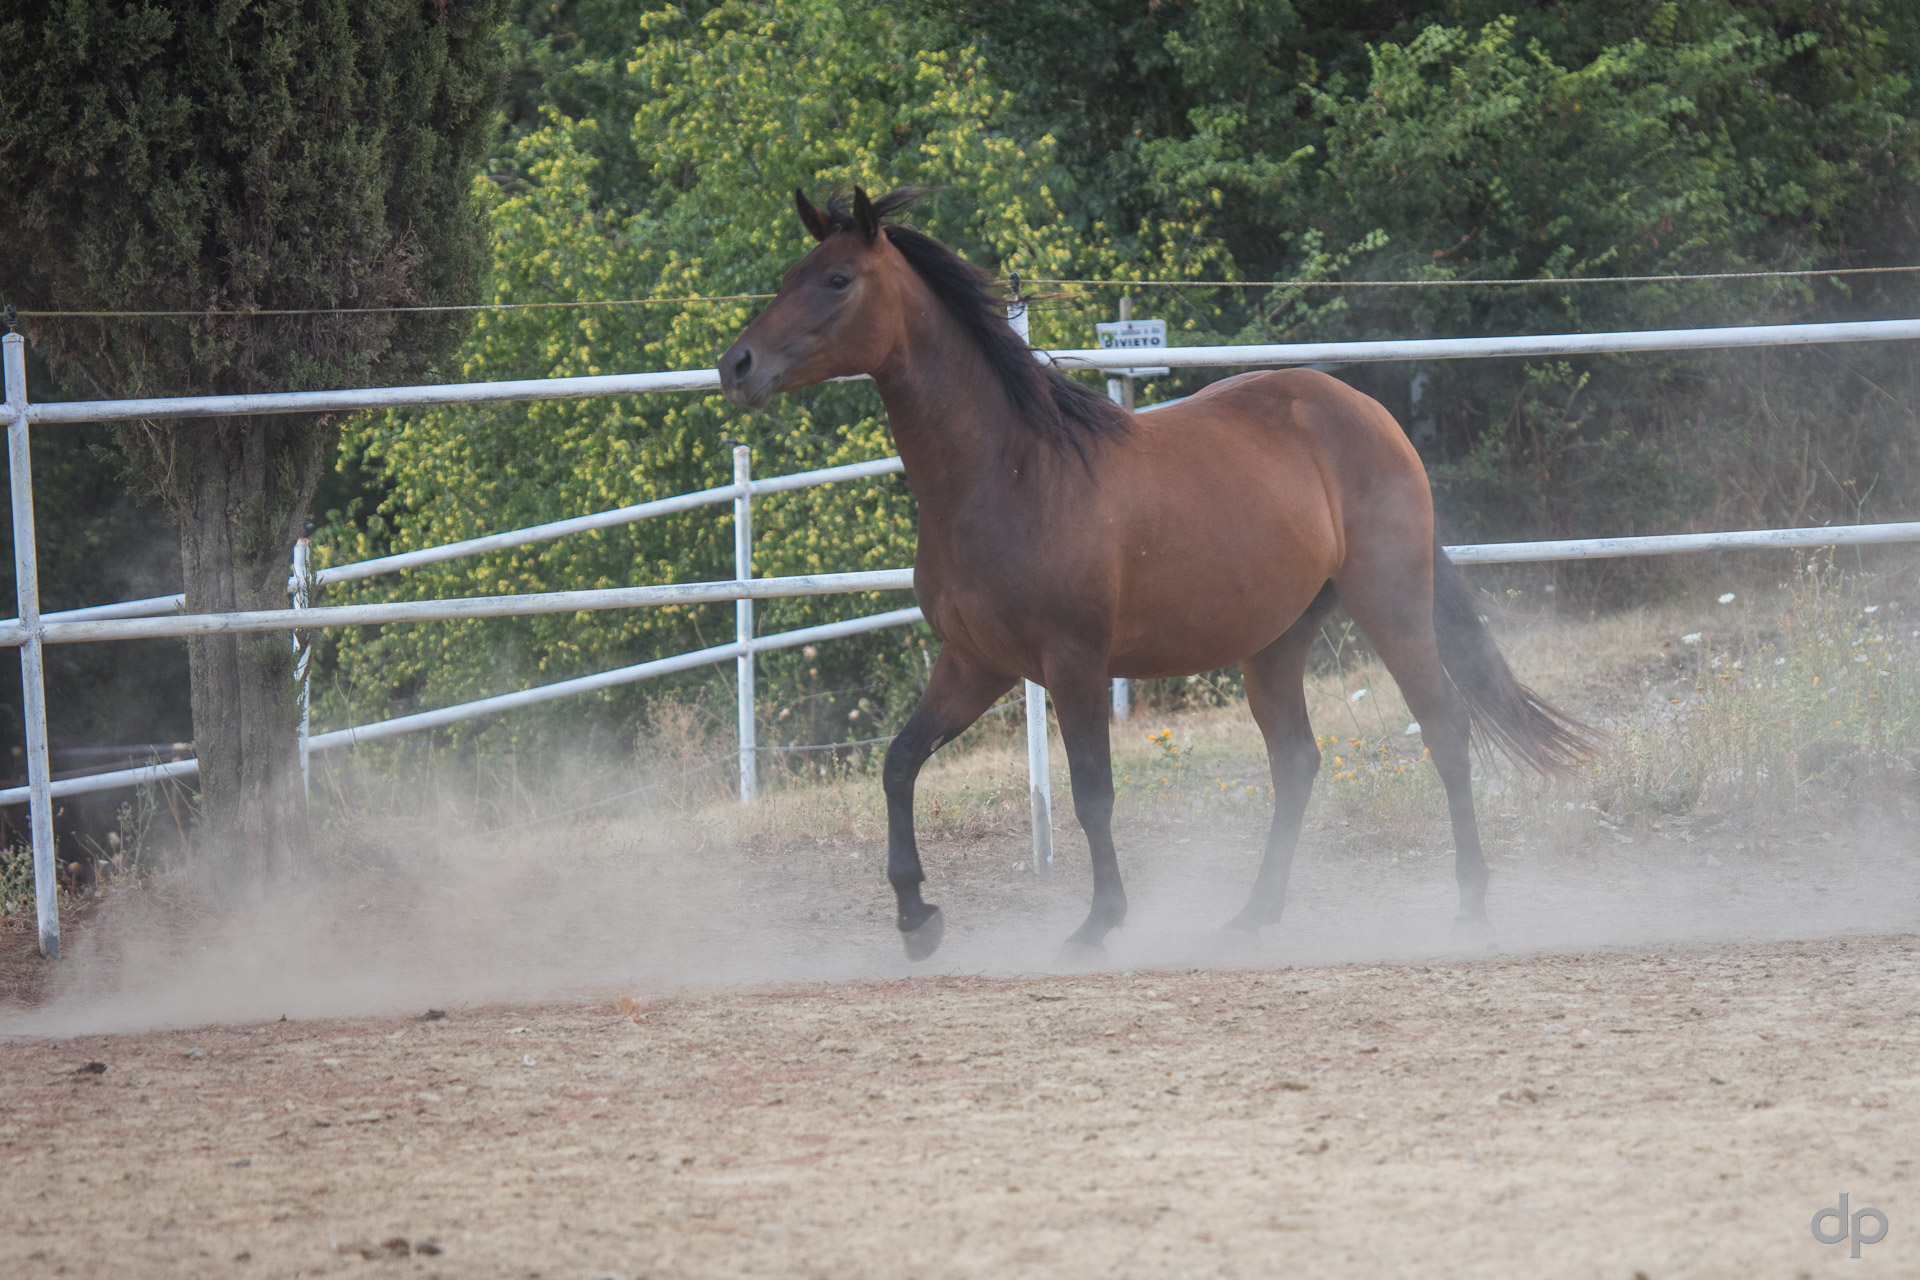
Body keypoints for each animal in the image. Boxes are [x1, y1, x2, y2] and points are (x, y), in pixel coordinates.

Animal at [719, 186, 1595, 963]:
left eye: (837, 279)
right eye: (792, 272)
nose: (736, 365)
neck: (1009, 473)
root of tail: (1367, 414)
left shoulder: (1073, 663)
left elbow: (1091, 791)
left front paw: (1098, 924)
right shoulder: (976, 664)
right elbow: (899, 763)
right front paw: (917, 918)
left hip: (1390, 603)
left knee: (1444, 727)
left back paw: (1470, 908)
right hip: (1276, 640)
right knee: (1297, 761)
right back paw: (1251, 917)